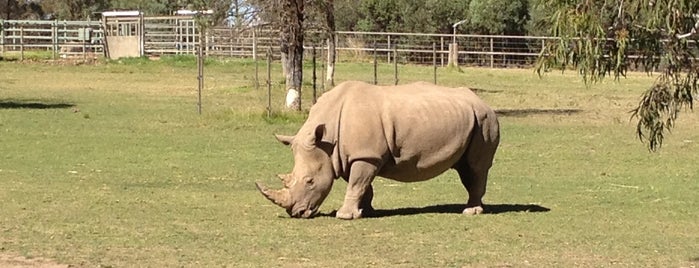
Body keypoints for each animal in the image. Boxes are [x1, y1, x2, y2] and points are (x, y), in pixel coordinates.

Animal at [258, 80, 504, 219]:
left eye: (310, 181)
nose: (296, 213)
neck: (327, 140)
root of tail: (481, 100)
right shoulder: (349, 156)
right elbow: (362, 186)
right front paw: (364, 212)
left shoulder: (365, 155)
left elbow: (357, 184)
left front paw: (344, 216)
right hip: (470, 118)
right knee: (465, 169)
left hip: (484, 119)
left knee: (476, 168)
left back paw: (471, 212)